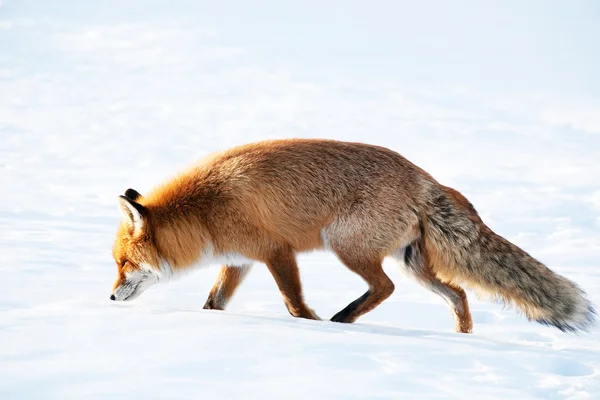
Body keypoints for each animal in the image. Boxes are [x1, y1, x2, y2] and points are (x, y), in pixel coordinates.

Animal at [109, 139, 596, 332]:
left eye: (122, 264)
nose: (110, 298)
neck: (207, 209)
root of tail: (424, 178)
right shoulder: (241, 260)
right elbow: (213, 304)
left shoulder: (276, 251)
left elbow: (293, 302)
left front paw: (310, 324)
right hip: (413, 264)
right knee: (457, 294)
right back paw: (461, 339)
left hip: (347, 247)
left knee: (385, 288)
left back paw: (343, 320)